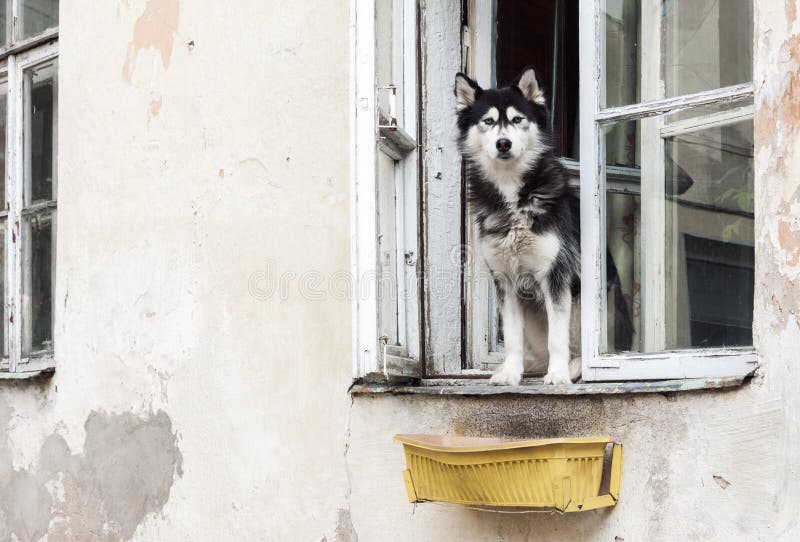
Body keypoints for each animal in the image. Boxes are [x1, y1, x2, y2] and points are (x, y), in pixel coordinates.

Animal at [454, 68, 580, 386]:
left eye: (517, 119)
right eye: (488, 121)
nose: (503, 143)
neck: (512, 191)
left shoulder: (555, 274)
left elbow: (557, 337)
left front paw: (558, 374)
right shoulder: (505, 280)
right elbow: (512, 337)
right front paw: (511, 373)